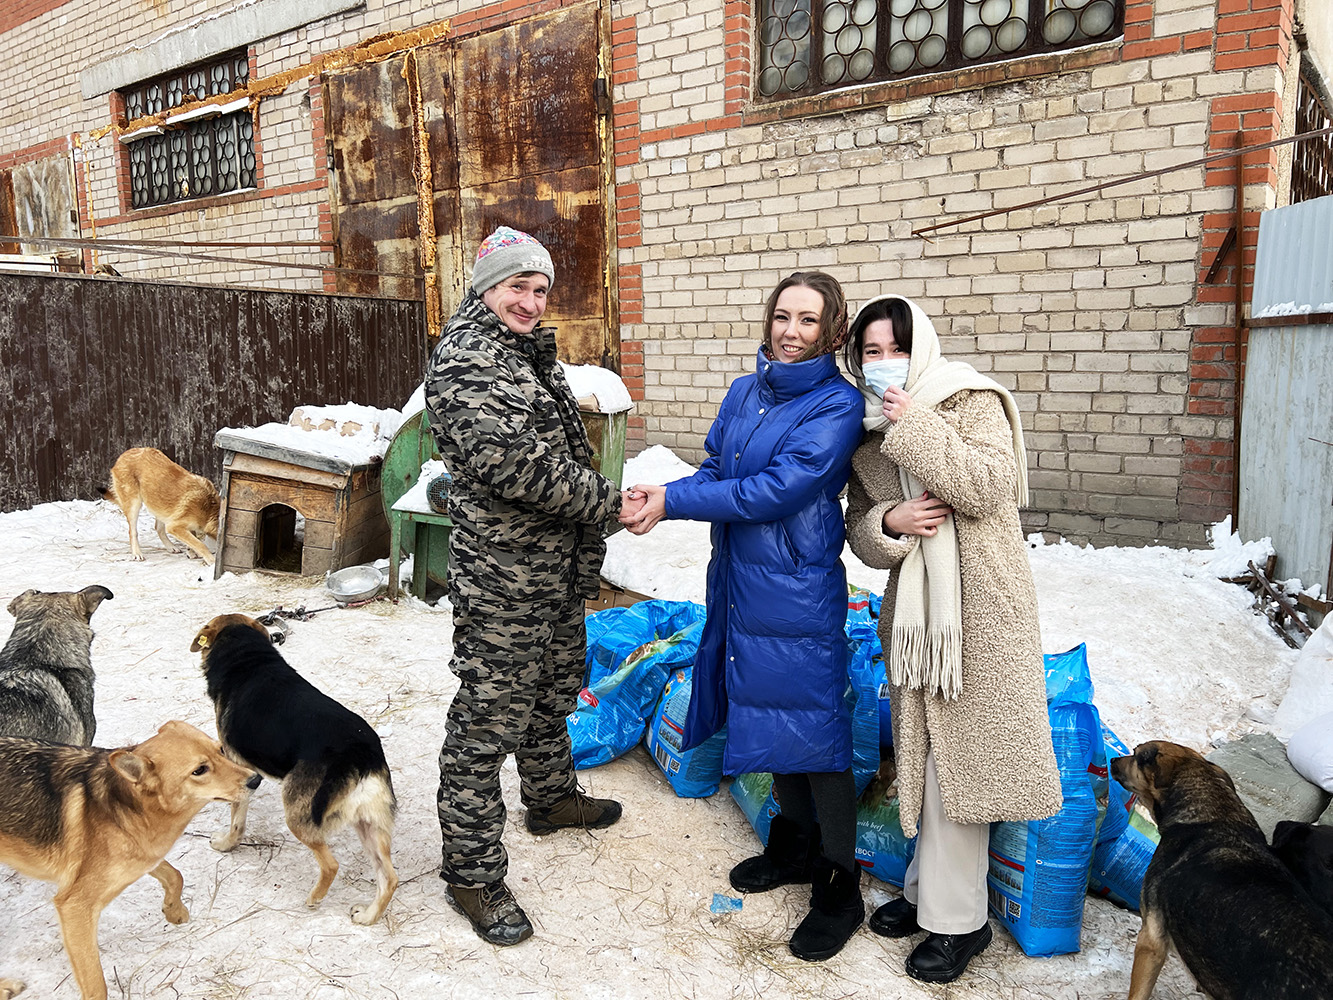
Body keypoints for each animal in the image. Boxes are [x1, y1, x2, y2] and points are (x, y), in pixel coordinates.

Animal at [0, 720, 254, 1000]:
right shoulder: (74, 906)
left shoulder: (144, 856)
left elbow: (175, 875)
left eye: (220, 750)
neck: (133, 805)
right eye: (199, 770)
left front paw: (174, 911)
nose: (256, 779)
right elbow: (96, 986)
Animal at [191, 614, 398, 924]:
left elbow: (237, 821)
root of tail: (361, 754)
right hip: (369, 824)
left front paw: (227, 844)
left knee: (331, 865)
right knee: (389, 878)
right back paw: (367, 916)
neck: (248, 658)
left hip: (298, 817)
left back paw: (313, 899)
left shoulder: (239, 767)